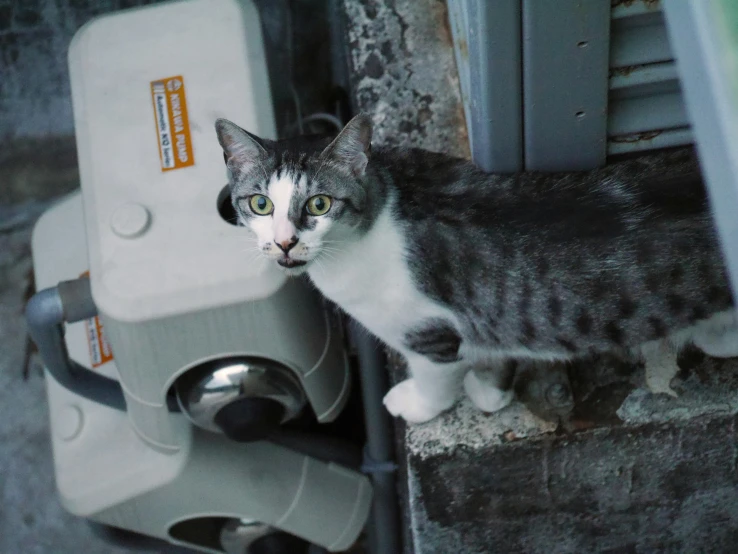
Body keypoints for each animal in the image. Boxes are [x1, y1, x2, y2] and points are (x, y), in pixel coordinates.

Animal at [214, 112, 736, 422]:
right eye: (260, 204)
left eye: (319, 204)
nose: (284, 243)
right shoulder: (491, 311)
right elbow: (500, 346)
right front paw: (493, 391)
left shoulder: (429, 336)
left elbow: (436, 381)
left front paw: (416, 404)